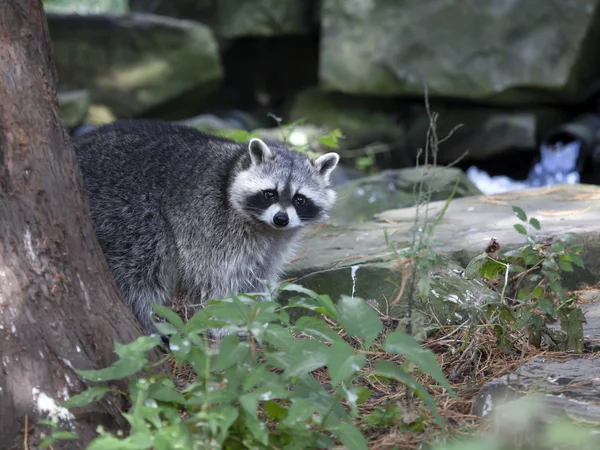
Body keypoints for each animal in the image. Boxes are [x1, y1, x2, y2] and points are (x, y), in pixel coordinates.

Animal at [71, 119, 338, 338]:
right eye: (269, 193)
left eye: (299, 199)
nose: (281, 218)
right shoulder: (211, 226)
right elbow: (216, 280)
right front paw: (225, 322)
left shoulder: (273, 245)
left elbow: (259, 277)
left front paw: (259, 314)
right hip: (125, 209)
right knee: (139, 266)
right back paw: (148, 318)